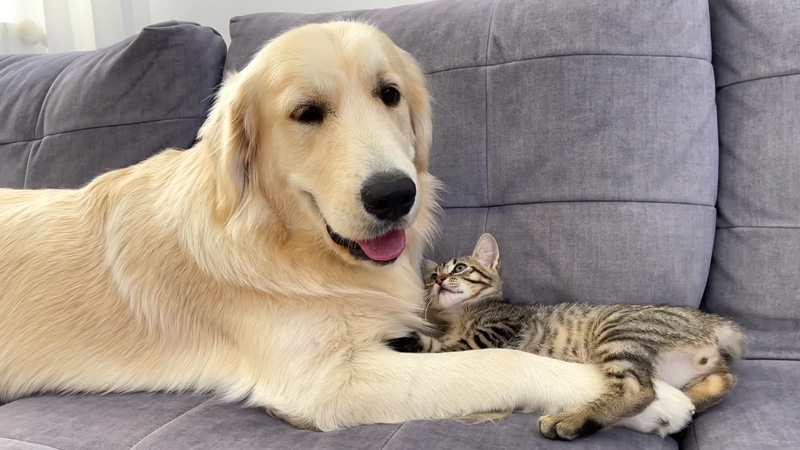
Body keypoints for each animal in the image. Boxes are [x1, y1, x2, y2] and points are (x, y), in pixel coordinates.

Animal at [0, 21, 692, 440]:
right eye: (307, 113)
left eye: (389, 93)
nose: (395, 196)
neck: (294, 247)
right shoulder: (329, 382)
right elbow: (498, 361)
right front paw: (651, 397)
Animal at [410, 234, 748, 442]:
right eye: (432, 276)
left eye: (460, 268)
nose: (439, 280)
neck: (461, 316)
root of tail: (711, 320)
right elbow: (440, 344)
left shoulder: (496, 332)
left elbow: (448, 350)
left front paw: (412, 342)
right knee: (723, 381)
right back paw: (686, 406)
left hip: (618, 329)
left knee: (638, 391)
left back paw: (569, 421)